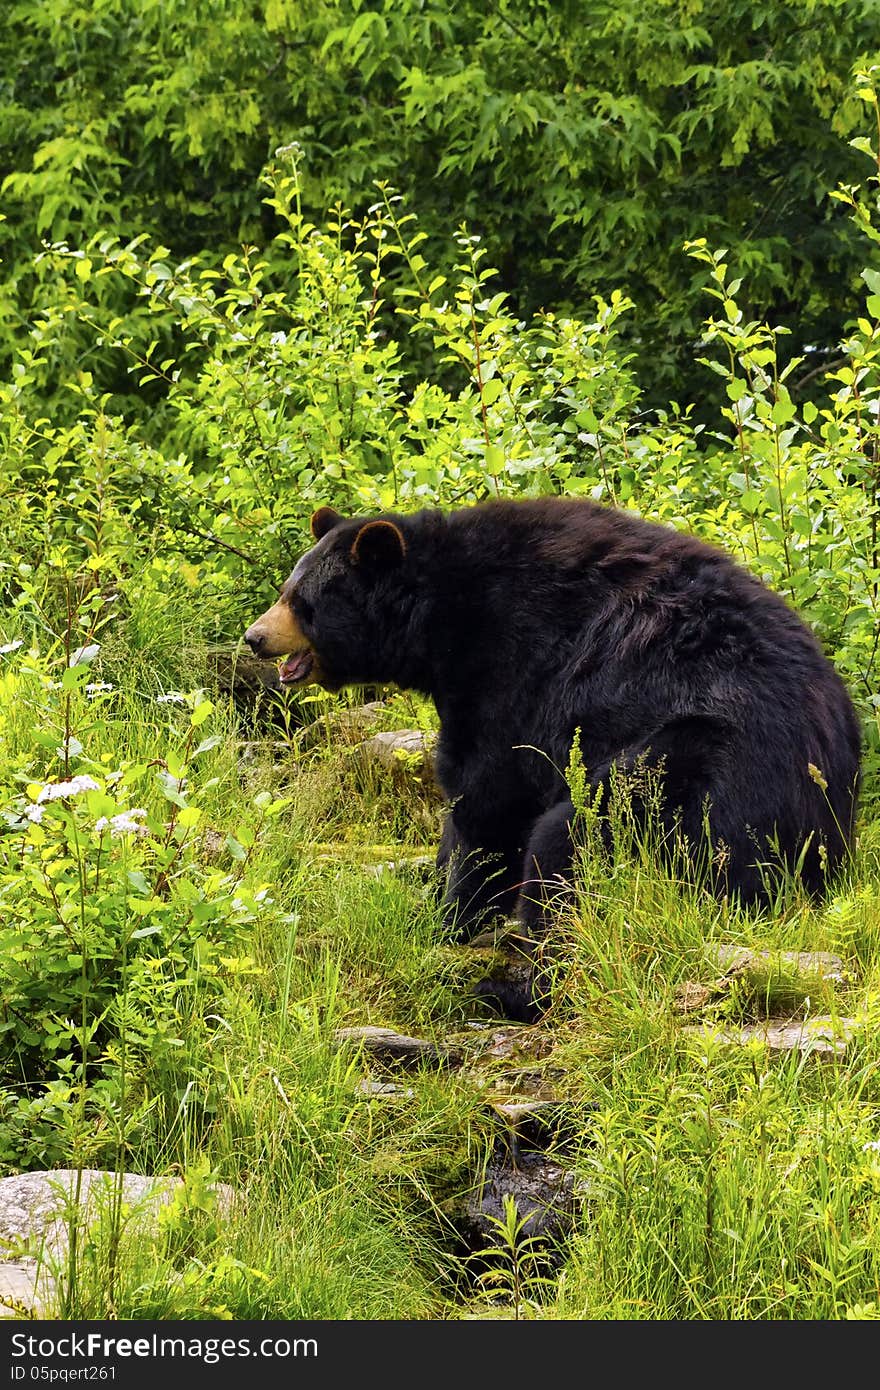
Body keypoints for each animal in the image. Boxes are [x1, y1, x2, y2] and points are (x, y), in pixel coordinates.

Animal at [246, 500, 856, 989]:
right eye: (286, 590)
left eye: (304, 602)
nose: (255, 637)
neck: (441, 616)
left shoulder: (511, 666)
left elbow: (487, 797)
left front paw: (451, 914)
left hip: (688, 772)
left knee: (572, 839)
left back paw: (516, 980)